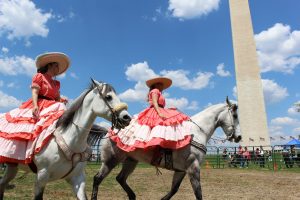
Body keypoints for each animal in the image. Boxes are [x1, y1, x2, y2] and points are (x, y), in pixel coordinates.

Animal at [0, 79, 131, 200]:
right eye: (108, 97)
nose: (127, 118)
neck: (70, 140)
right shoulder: (41, 178)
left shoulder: (78, 179)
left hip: (12, 168)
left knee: (2, 184)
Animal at [89, 97, 241, 200]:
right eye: (234, 115)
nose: (238, 137)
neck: (196, 132)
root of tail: (109, 131)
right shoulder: (193, 168)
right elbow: (198, 193)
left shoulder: (181, 170)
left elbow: (174, 189)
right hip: (111, 160)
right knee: (97, 179)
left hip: (130, 161)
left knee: (120, 178)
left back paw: (132, 196)